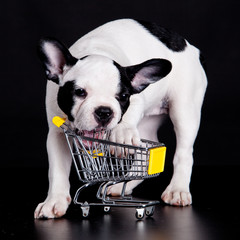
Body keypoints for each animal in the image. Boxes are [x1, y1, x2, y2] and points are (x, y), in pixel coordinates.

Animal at [34, 17, 207, 218]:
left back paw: (177, 190)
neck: (97, 51)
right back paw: (124, 184)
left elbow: (128, 116)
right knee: (144, 151)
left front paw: (121, 134)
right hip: (149, 123)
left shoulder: (137, 98)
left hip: (185, 110)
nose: (104, 111)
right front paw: (54, 201)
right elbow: (57, 170)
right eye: (79, 92)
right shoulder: (57, 135)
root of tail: (193, 49)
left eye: (123, 96)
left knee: (184, 152)